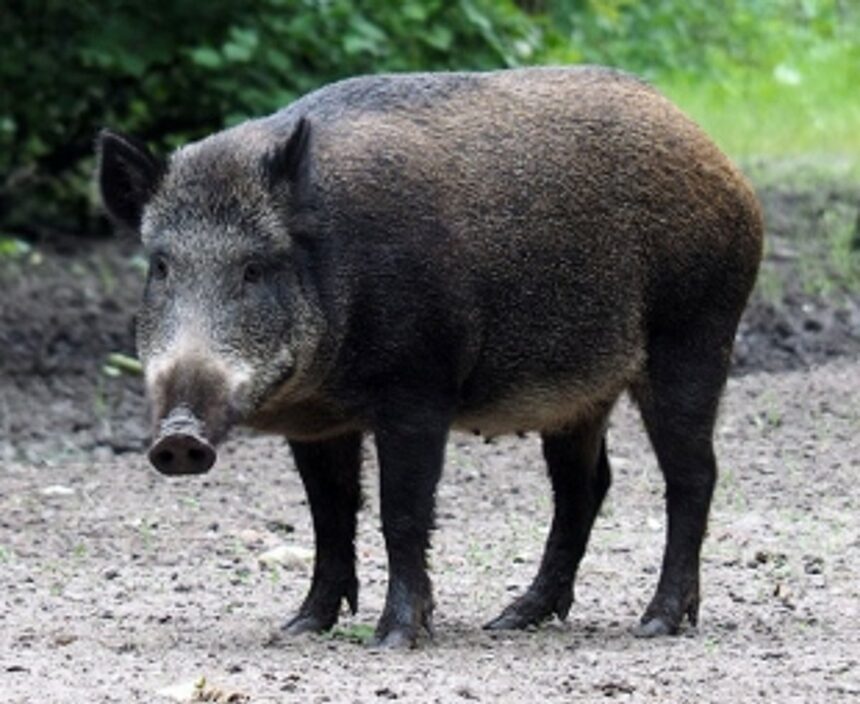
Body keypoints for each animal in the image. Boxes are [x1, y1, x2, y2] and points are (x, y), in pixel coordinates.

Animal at [97, 66, 763, 648]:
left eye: (254, 268)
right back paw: (512, 619)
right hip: (580, 395)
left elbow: (402, 511)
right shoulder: (317, 424)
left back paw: (656, 623)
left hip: (695, 337)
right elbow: (329, 515)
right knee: (586, 486)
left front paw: (395, 638)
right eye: (161, 266)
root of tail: (723, 166)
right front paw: (299, 627)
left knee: (693, 475)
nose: (179, 437)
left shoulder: (419, 389)